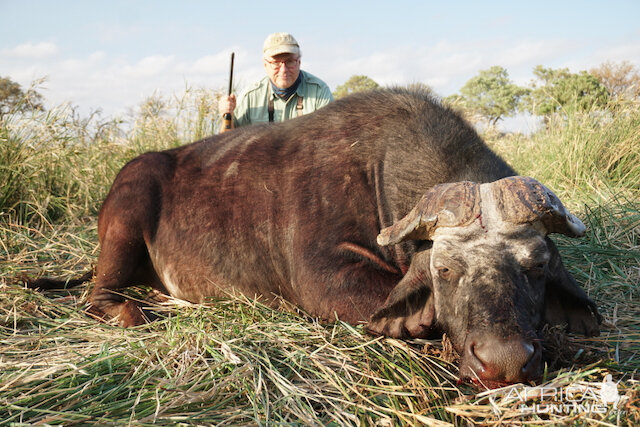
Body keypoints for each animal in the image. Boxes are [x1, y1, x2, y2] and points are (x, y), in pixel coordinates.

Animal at [28, 87, 600, 384]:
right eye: (444, 270)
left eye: (537, 266)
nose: (505, 362)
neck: (375, 168)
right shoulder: (328, 280)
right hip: (124, 223)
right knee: (97, 295)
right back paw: (131, 311)